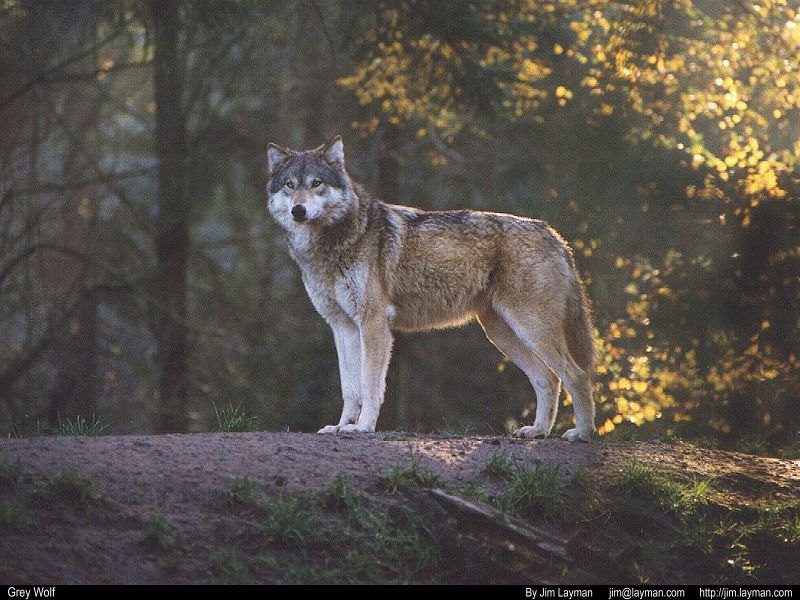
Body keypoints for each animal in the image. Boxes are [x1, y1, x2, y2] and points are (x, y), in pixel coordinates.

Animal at [267, 136, 597, 441]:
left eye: (316, 183)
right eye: (289, 185)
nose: (298, 210)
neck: (335, 243)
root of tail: (553, 234)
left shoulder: (373, 324)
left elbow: (370, 385)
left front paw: (362, 427)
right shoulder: (342, 326)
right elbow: (350, 388)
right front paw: (341, 426)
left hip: (531, 329)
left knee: (576, 376)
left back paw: (582, 433)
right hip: (502, 334)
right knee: (548, 379)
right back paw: (538, 431)